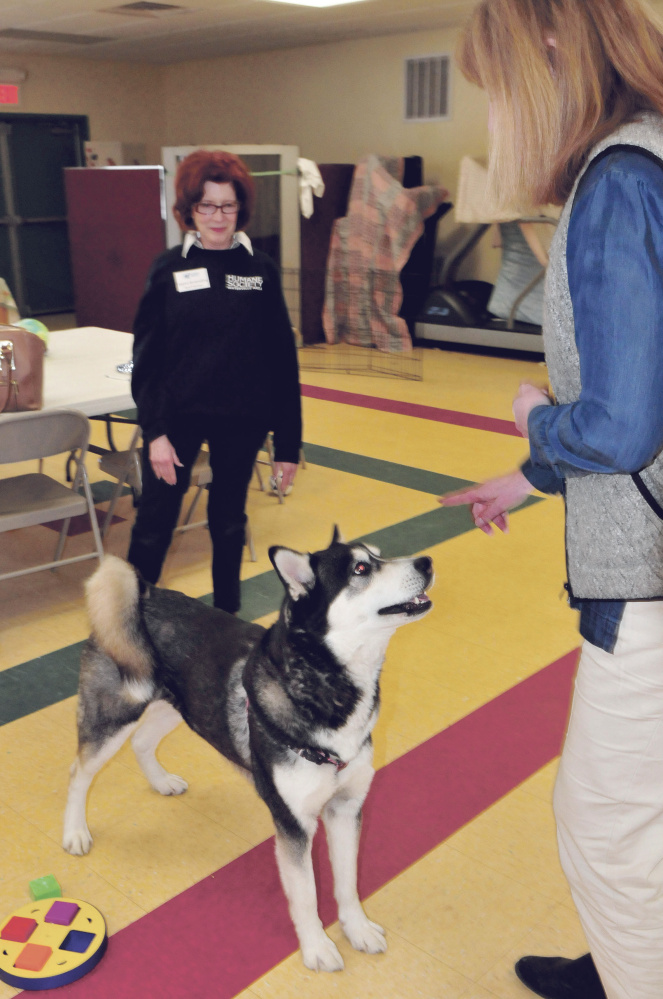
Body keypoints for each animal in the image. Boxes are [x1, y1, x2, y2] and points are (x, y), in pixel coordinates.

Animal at [63, 536, 436, 972]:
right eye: (361, 569)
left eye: (378, 554)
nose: (427, 562)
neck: (328, 690)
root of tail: (143, 593)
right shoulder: (293, 824)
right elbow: (306, 894)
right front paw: (317, 947)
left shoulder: (346, 807)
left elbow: (347, 880)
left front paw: (356, 928)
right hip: (115, 714)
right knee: (79, 772)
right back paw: (74, 832)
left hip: (183, 706)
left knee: (142, 742)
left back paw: (161, 781)